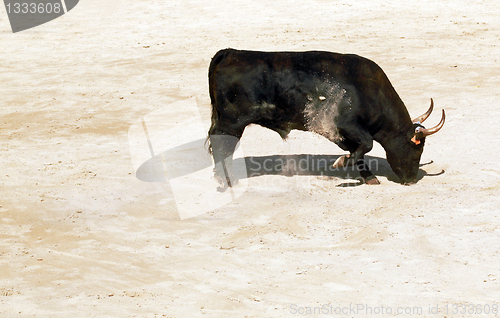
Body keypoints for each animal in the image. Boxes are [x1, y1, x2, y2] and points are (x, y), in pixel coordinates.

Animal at [207, 48, 446, 190]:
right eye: (417, 149)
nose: (411, 180)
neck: (369, 91)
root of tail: (228, 53)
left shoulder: (342, 134)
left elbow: (358, 150)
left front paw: (368, 176)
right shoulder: (346, 125)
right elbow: (366, 144)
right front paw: (342, 162)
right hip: (232, 123)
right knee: (221, 146)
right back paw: (226, 180)